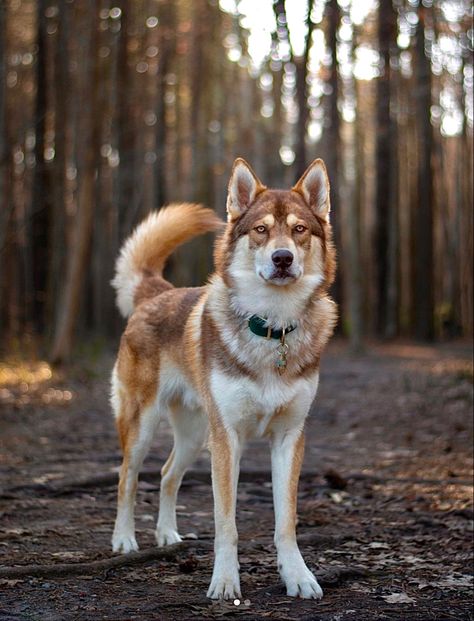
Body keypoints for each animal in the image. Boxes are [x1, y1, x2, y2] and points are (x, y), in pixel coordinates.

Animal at [109, 157, 336, 600]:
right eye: (261, 229)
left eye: (299, 229)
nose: (282, 258)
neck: (272, 327)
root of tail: (156, 293)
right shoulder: (227, 438)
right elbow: (226, 524)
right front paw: (226, 582)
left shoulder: (289, 437)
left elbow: (286, 522)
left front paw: (298, 577)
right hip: (146, 425)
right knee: (128, 477)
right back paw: (124, 540)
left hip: (196, 436)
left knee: (167, 475)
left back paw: (167, 535)